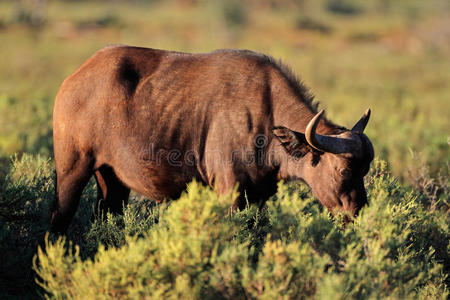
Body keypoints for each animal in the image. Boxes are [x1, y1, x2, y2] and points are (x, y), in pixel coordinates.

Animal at [50, 45, 372, 233]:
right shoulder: (229, 192)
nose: (357, 213)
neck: (265, 116)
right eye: (344, 171)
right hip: (72, 170)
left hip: (112, 180)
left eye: (365, 171)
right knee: (58, 218)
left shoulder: (258, 196)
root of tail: (72, 81)